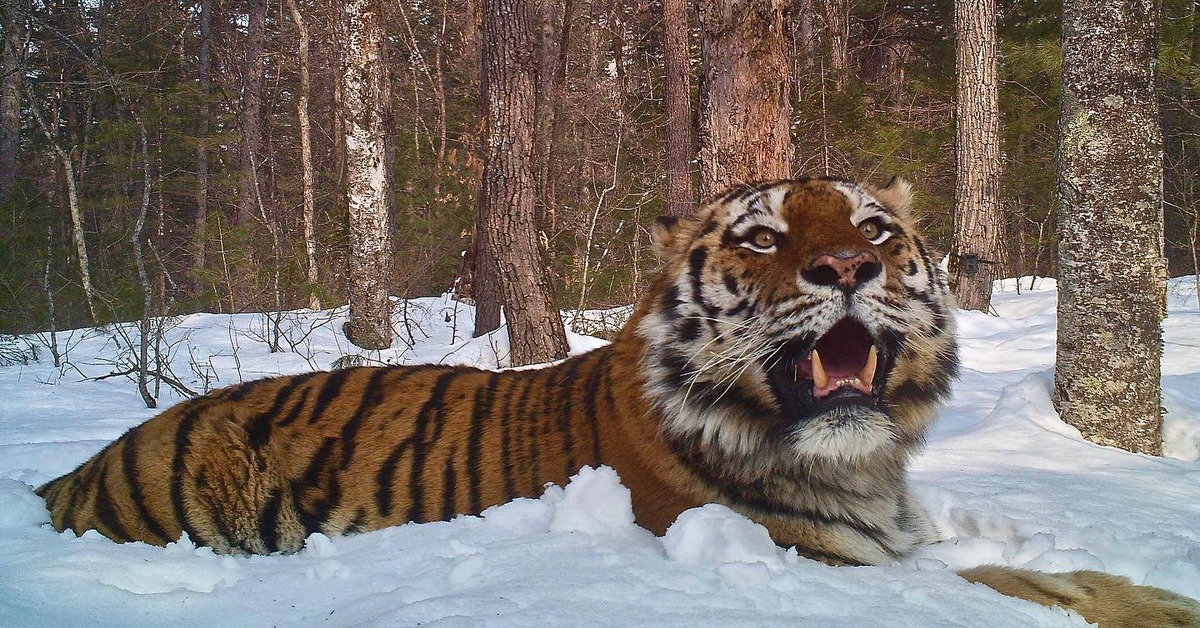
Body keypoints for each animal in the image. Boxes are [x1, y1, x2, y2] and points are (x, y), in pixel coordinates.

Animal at [37, 177, 1200, 628]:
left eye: (873, 228)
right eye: (765, 237)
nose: (847, 269)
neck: (860, 461)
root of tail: (71, 474)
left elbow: (1044, 570)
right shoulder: (820, 560)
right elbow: (1017, 589)